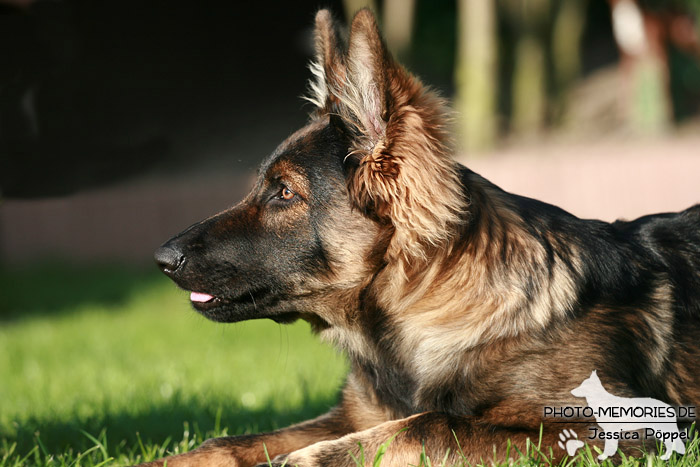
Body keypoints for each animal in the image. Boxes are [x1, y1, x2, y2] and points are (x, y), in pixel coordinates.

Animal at [145, 7, 696, 467]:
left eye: (283, 192)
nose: (162, 259)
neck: (422, 308)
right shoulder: (354, 415)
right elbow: (225, 442)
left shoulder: (619, 430)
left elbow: (427, 423)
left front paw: (303, 461)